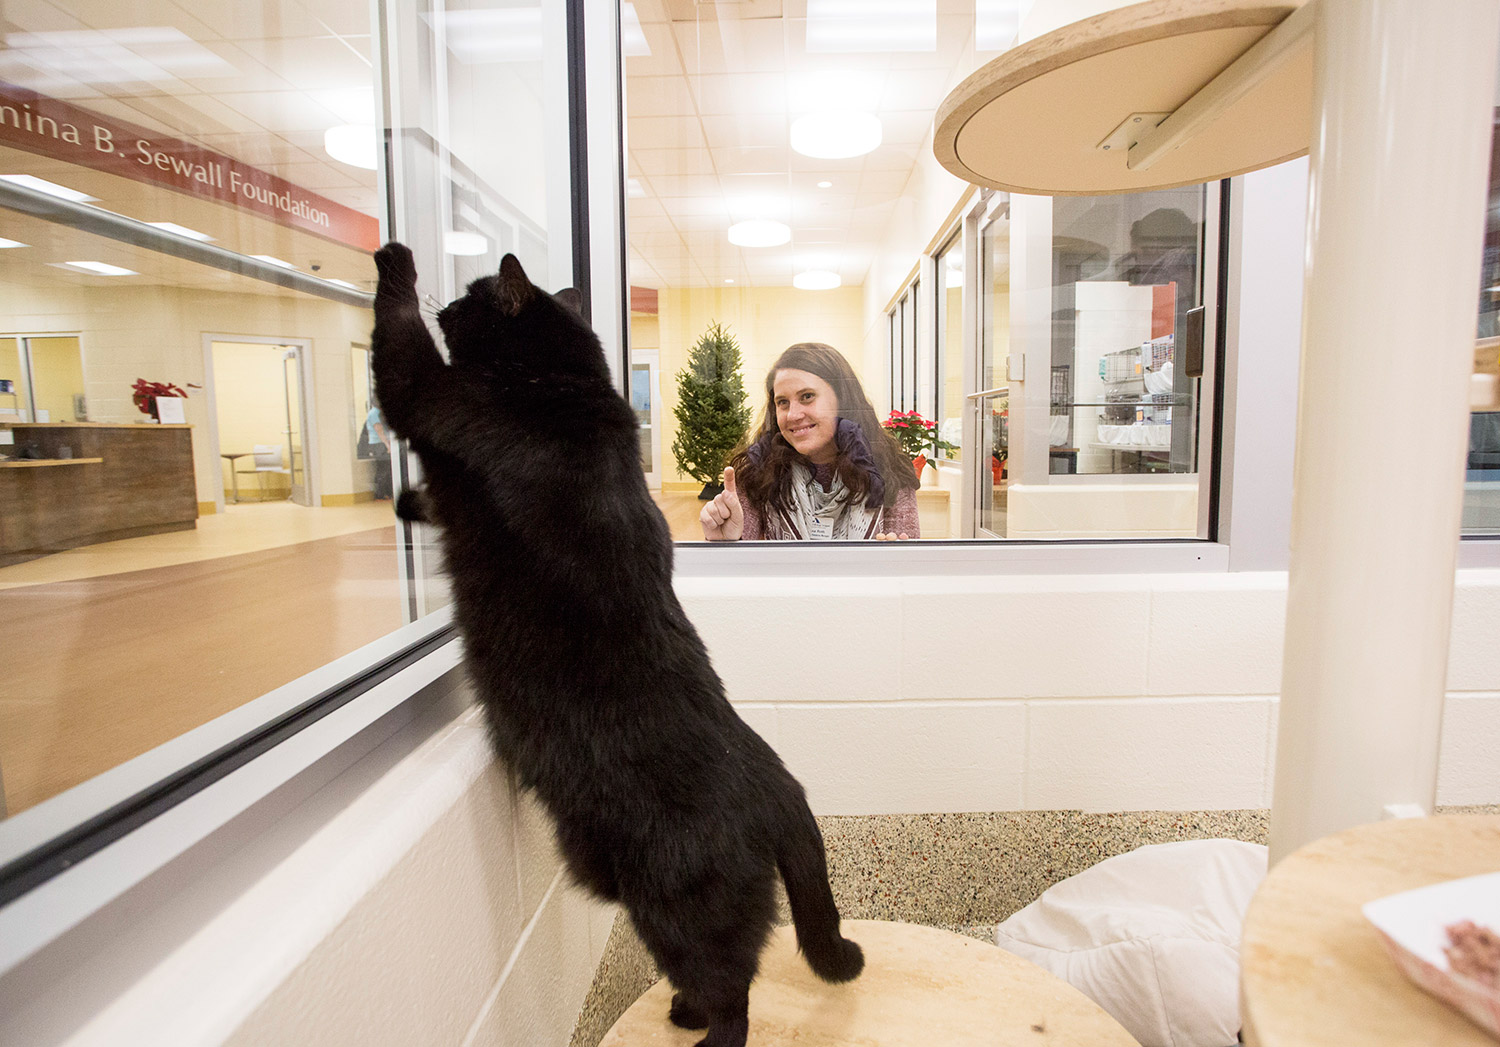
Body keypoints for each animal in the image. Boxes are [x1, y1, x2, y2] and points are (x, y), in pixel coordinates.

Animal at [370, 243, 864, 1044]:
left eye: (474, 294)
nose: (452, 301)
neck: (567, 386)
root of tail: (780, 786)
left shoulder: (429, 393)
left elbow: (399, 343)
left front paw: (397, 262)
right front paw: (407, 499)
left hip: (675, 913)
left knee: (734, 998)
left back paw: (697, 1023)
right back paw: (682, 1010)